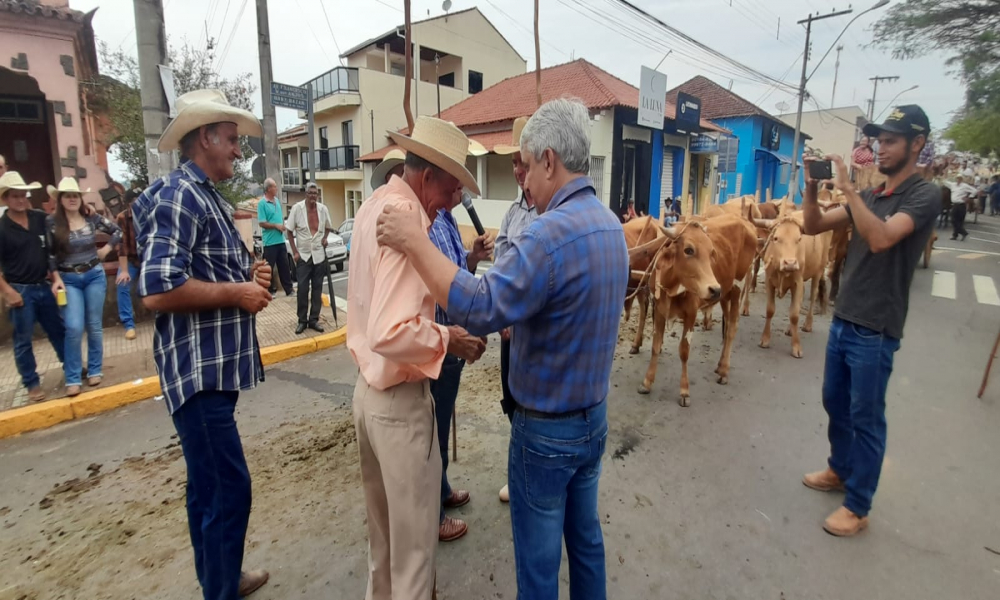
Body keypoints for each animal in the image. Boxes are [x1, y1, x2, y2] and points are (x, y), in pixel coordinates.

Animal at [636, 213, 752, 406]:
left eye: (712, 252)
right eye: (688, 250)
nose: (714, 289)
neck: (672, 285)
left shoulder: (691, 313)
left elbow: (684, 351)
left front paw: (684, 391)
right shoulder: (659, 310)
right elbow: (655, 346)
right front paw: (647, 382)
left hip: (737, 289)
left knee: (731, 330)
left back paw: (724, 371)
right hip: (725, 294)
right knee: (728, 323)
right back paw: (719, 365)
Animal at [752, 213, 832, 358]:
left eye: (799, 239)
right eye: (776, 238)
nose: (790, 263)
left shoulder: (798, 282)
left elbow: (794, 314)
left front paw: (796, 347)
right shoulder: (769, 281)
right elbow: (770, 310)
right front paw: (765, 339)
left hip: (819, 270)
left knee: (813, 295)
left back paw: (807, 324)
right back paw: (790, 329)